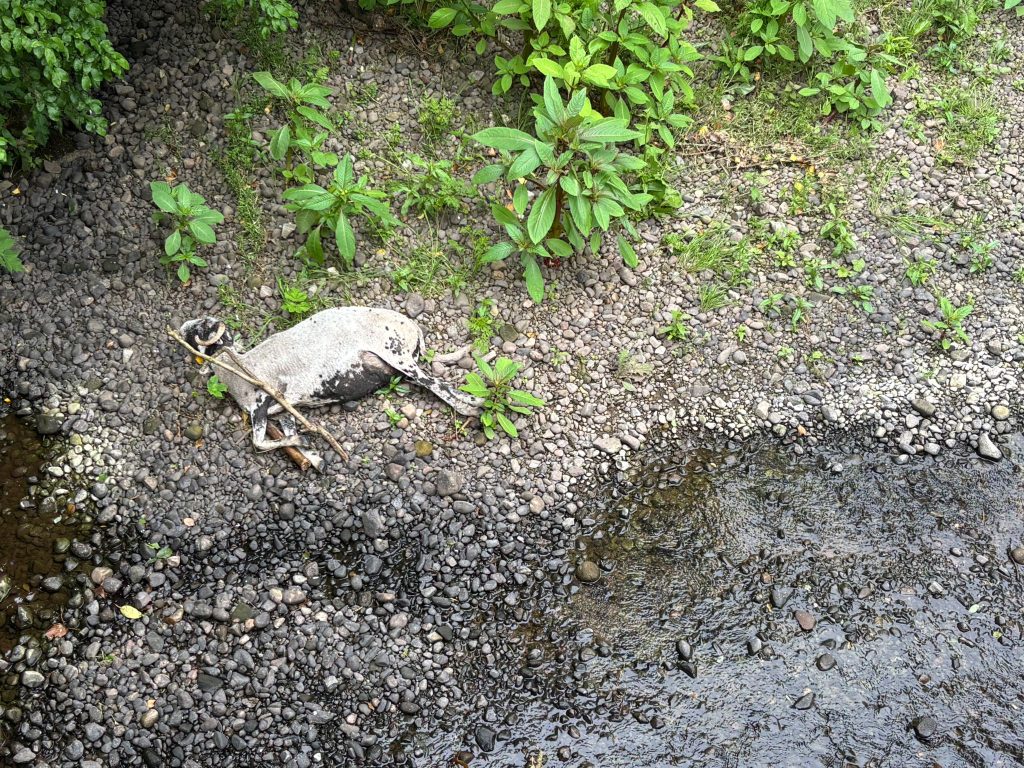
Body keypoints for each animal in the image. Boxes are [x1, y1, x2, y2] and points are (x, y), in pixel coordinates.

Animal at [179, 308, 482, 457]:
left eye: (200, 327)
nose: (180, 330)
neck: (236, 368)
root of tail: (411, 326)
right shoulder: (280, 410)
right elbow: (282, 435)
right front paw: (306, 448)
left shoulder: (267, 400)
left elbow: (257, 443)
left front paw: (303, 441)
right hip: (402, 367)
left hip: (396, 354)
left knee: (439, 386)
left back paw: (473, 405)